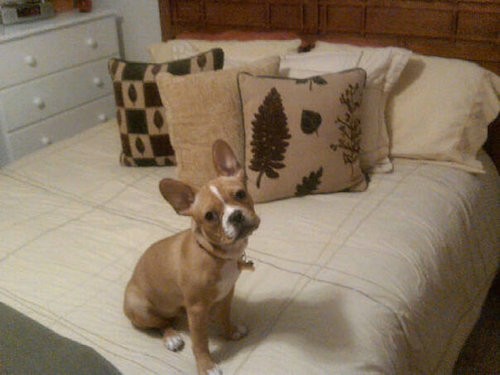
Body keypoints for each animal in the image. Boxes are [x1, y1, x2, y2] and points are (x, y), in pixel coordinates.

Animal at [123, 140, 260, 375]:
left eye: (241, 194)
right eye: (210, 216)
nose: (235, 215)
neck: (216, 255)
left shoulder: (227, 293)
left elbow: (224, 315)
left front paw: (230, 331)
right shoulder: (196, 311)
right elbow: (200, 342)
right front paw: (206, 365)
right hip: (139, 307)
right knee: (160, 324)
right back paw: (171, 337)